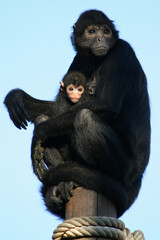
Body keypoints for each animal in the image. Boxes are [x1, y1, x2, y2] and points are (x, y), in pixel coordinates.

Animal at [4, 9, 151, 219]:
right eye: (91, 31)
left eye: (106, 31)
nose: (100, 38)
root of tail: (137, 179)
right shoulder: (79, 60)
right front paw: (17, 97)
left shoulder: (122, 52)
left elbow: (106, 103)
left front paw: (37, 135)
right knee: (45, 118)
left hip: (125, 170)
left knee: (84, 118)